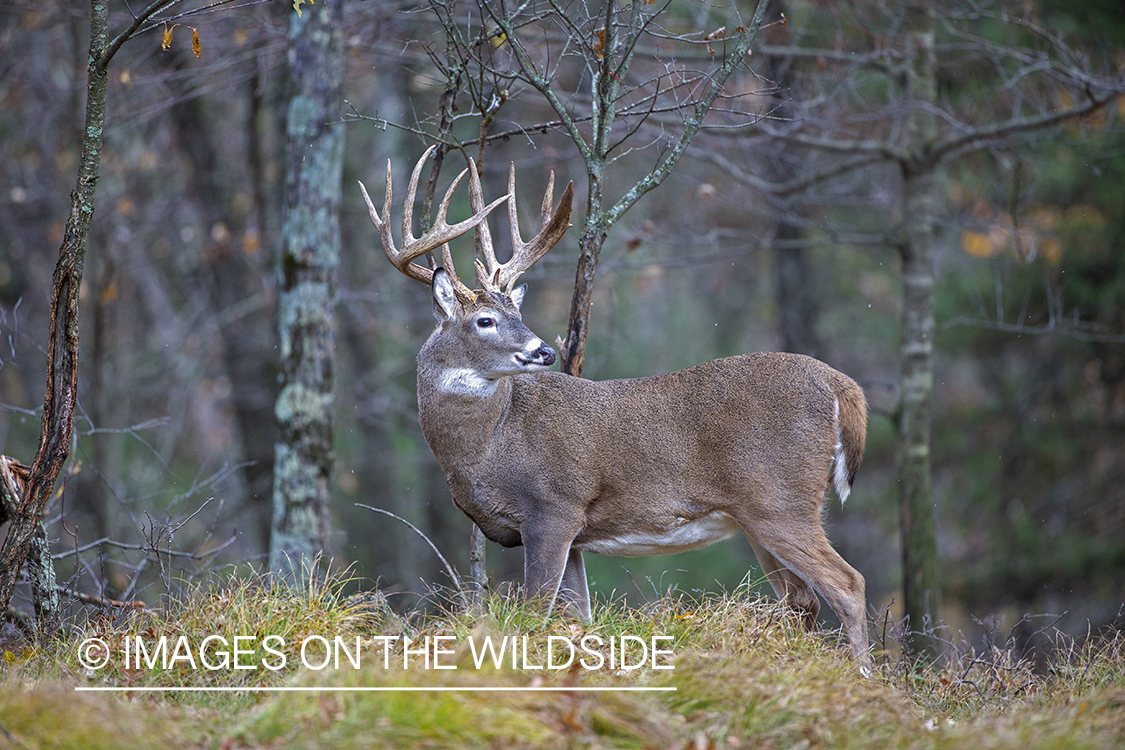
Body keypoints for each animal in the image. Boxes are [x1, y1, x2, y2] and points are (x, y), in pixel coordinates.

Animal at [364, 148, 873, 670]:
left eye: (517, 314)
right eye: (486, 320)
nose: (545, 351)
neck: (485, 448)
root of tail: (840, 384)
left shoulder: (554, 506)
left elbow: (534, 613)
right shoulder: (570, 534)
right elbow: (578, 615)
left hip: (781, 499)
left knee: (848, 584)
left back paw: (865, 675)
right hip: (755, 515)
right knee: (801, 599)